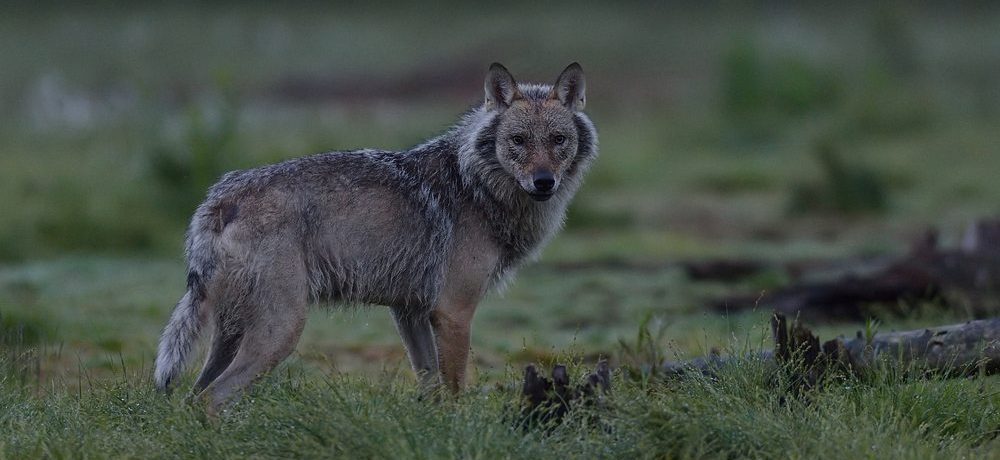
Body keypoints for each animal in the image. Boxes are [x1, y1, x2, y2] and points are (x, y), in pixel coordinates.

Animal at [153, 62, 598, 409]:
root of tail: (220, 198)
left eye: (558, 140)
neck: (477, 186)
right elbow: (454, 391)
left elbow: (431, 388)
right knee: (212, 398)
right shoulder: (453, 311)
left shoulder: (410, 312)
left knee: (192, 397)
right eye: (518, 141)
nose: (544, 182)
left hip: (230, 334)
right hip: (282, 330)